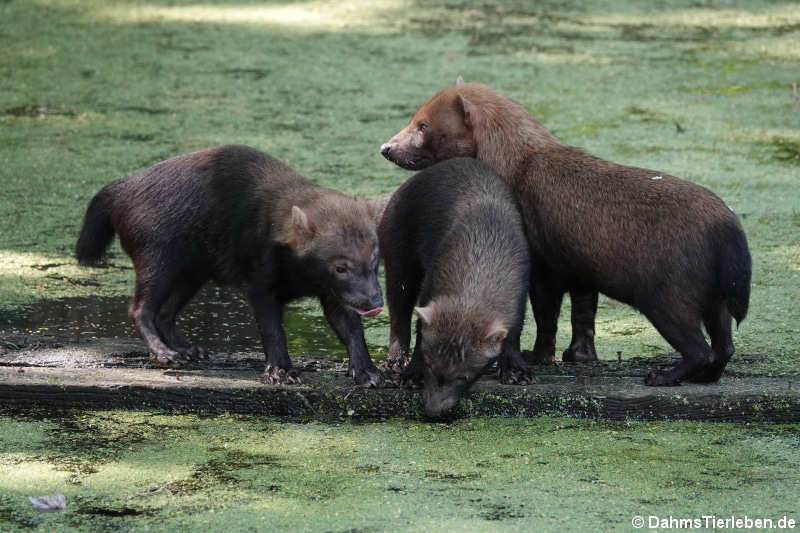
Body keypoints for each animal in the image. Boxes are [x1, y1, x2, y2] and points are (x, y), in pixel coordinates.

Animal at [76, 145, 384, 384]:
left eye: (375, 260)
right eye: (340, 267)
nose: (375, 302)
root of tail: (122, 188)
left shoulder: (333, 294)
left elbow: (352, 330)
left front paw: (369, 372)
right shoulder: (260, 283)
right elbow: (272, 330)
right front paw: (281, 371)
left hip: (191, 272)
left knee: (165, 312)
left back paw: (188, 349)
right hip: (157, 261)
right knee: (141, 309)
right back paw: (166, 353)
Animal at [380, 79, 752, 384]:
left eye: (422, 124)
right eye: (414, 117)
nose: (386, 148)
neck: (518, 164)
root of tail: (728, 228)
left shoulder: (542, 260)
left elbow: (546, 315)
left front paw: (534, 357)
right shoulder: (580, 263)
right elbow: (583, 312)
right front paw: (578, 355)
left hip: (667, 294)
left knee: (700, 348)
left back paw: (662, 376)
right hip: (715, 293)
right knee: (725, 345)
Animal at [380, 158, 532, 416]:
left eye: (464, 376)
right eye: (429, 366)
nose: (433, 411)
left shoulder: (521, 294)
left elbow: (513, 334)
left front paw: (516, 370)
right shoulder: (429, 284)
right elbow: (418, 332)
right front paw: (413, 373)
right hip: (398, 262)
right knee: (398, 317)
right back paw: (396, 361)